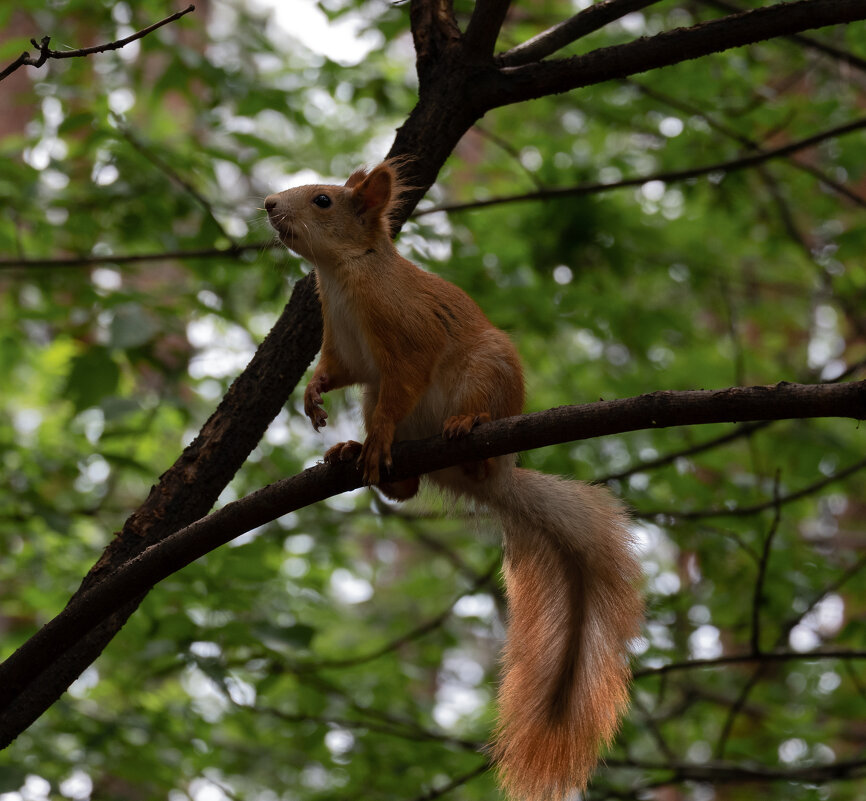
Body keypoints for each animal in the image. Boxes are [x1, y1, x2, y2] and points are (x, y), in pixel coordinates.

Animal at [264, 159, 640, 796]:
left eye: (322, 201)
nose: (268, 204)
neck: (340, 276)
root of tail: (494, 479)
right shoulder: (344, 347)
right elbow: (336, 371)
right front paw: (314, 399)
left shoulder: (405, 335)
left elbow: (404, 378)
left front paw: (376, 436)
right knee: (408, 485)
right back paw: (356, 455)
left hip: (485, 374)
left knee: (460, 429)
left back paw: (461, 430)